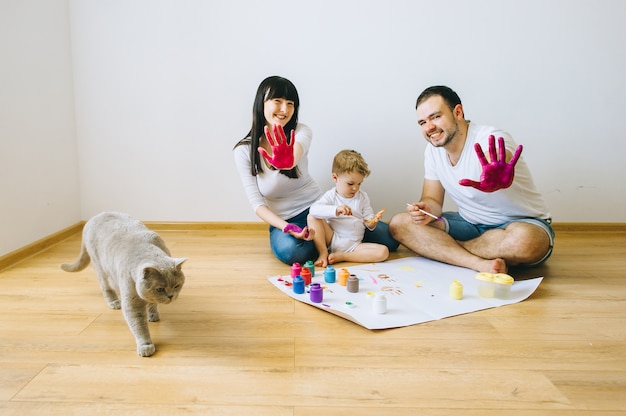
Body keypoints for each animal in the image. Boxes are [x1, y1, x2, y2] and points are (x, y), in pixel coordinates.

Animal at [59, 213, 184, 356]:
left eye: (177, 286)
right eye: (160, 289)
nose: (171, 296)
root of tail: (93, 218)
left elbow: (153, 303)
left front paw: (152, 314)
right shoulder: (131, 302)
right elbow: (138, 325)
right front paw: (146, 346)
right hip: (101, 267)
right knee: (105, 286)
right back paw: (114, 302)